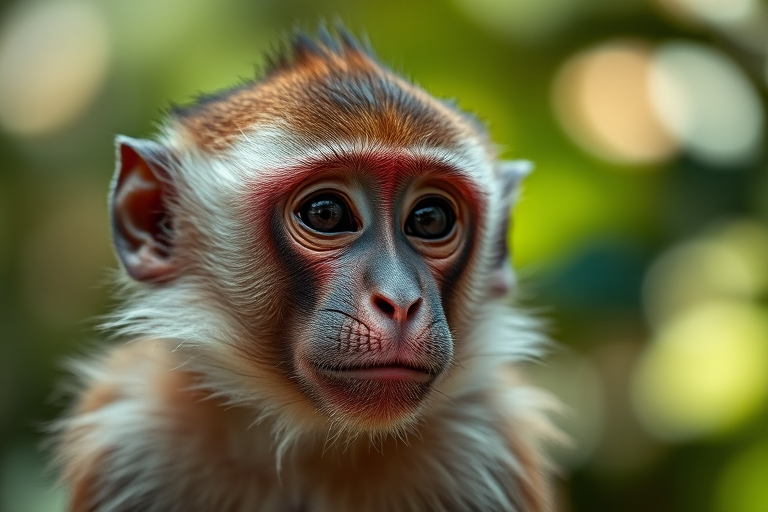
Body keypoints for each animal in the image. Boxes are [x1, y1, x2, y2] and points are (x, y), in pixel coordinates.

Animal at [52, 28, 560, 512]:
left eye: (430, 219)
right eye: (326, 213)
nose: (400, 301)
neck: (309, 447)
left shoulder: (488, 437)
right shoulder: (131, 432)